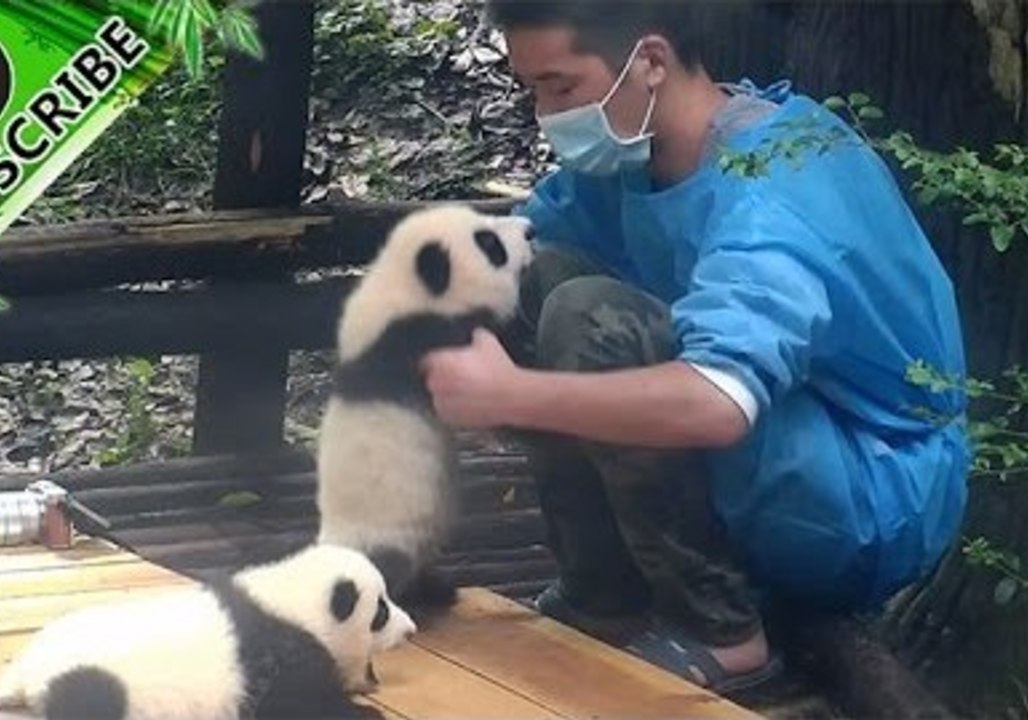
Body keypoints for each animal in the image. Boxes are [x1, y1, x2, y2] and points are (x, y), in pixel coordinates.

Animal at [0, 544, 415, 720]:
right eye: (380, 612)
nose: (410, 630)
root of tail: (26, 673)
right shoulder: (282, 659)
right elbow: (300, 706)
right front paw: (364, 713)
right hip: (97, 686)